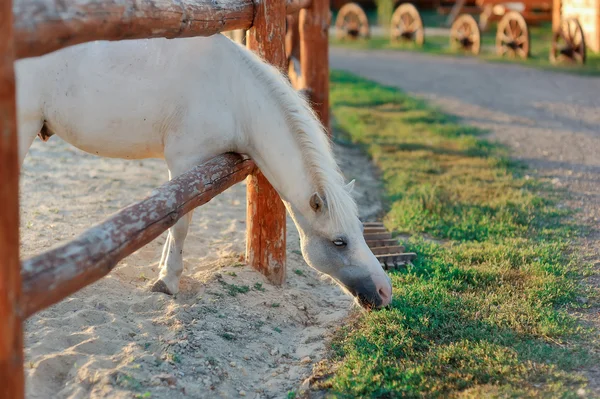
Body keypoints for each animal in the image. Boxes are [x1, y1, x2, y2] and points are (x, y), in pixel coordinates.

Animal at [15, 33, 394, 310]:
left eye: (361, 231)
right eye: (339, 242)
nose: (385, 291)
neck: (234, 93)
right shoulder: (185, 162)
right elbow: (179, 221)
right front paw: (167, 281)